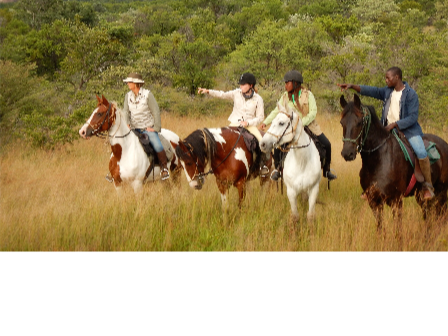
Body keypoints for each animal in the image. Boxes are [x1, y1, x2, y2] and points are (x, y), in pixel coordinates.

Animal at [340, 94, 448, 231]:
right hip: (421, 197)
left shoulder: (396, 201)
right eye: (341, 122)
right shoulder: (374, 202)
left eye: (359, 122)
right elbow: (380, 229)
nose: (347, 153)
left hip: (441, 192)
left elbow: (398, 230)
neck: (378, 160)